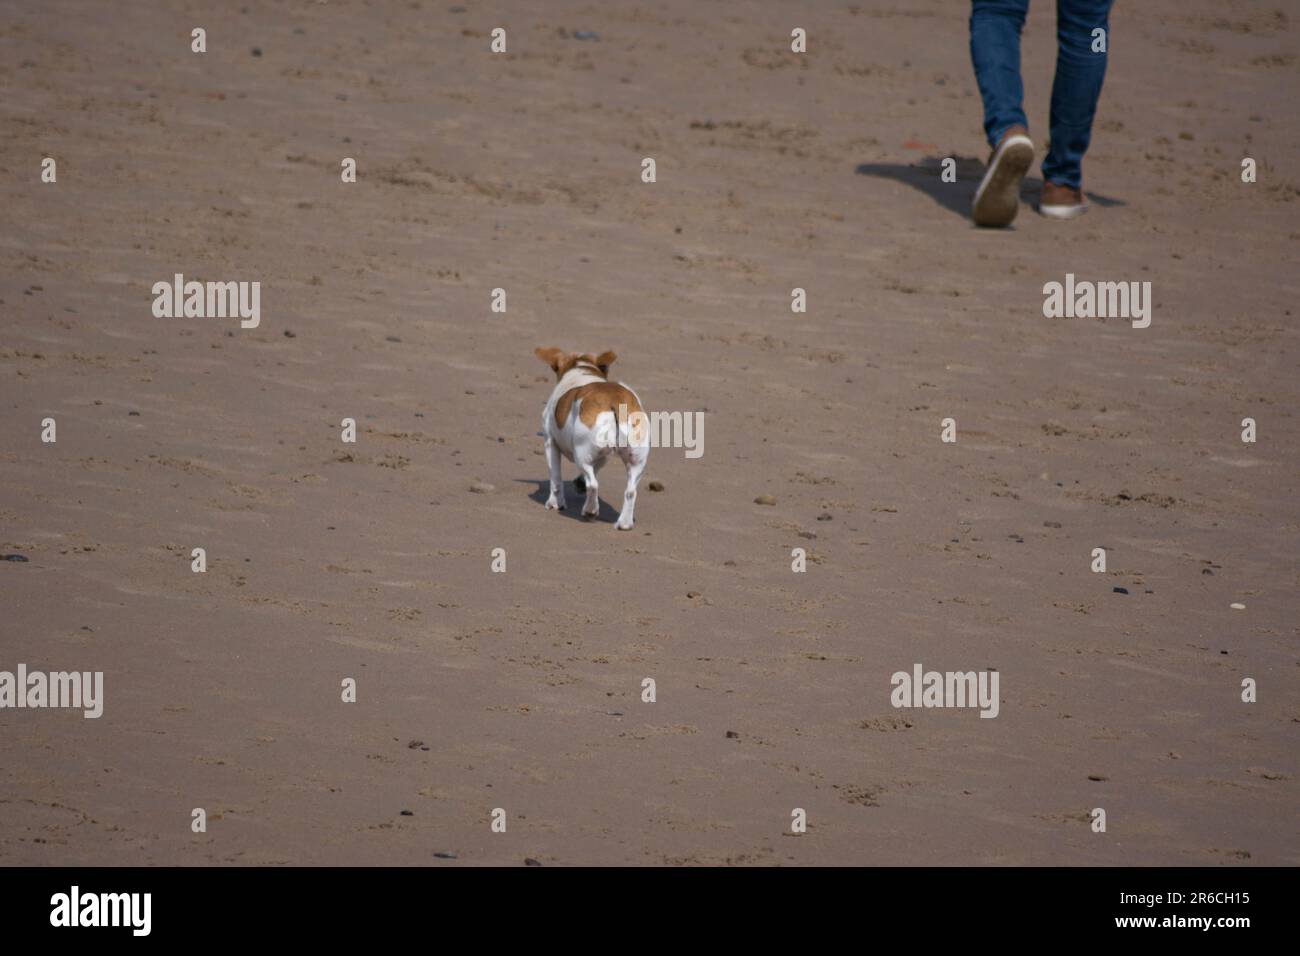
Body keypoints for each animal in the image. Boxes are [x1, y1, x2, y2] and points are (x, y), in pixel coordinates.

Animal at [530, 348, 647, 530]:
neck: (582, 369)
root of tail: (615, 400)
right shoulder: (602, 456)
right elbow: (594, 469)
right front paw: (579, 482)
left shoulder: (550, 444)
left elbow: (555, 479)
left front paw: (555, 503)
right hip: (636, 461)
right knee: (630, 492)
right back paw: (624, 523)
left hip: (581, 455)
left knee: (593, 485)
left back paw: (590, 510)